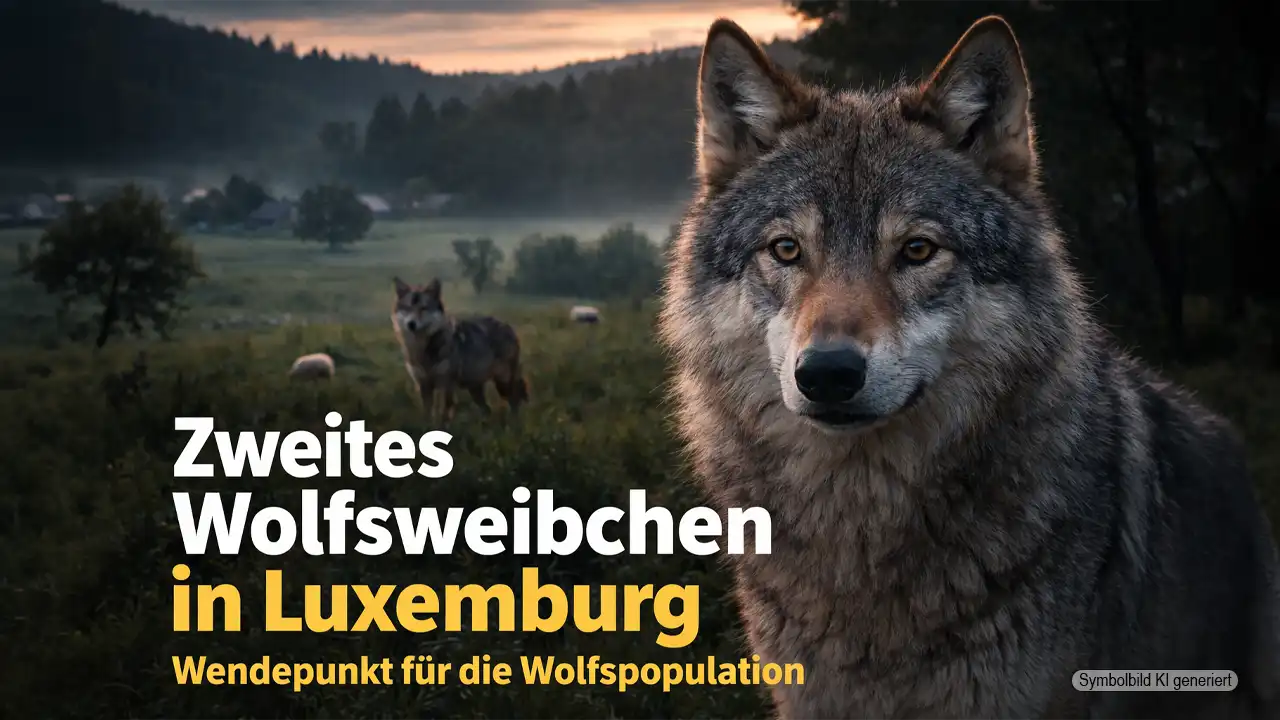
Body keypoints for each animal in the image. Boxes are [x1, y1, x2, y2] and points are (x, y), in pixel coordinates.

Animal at [391, 277, 528, 420]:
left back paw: (513, 423)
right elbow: (427, 415)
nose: (411, 324)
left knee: (514, 402)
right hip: (475, 388)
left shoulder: (447, 386)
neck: (422, 348)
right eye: (407, 308)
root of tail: (508, 327)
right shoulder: (424, 386)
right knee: (487, 409)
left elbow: (443, 415)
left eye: (424, 308)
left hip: (503, 382)